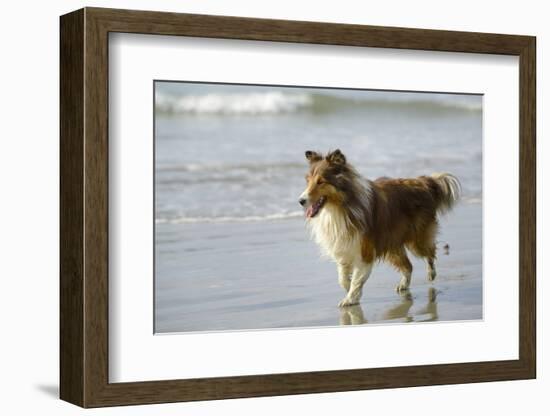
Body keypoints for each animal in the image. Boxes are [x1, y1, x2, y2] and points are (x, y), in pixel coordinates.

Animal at [302, 149, 462, 306]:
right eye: (308, 181)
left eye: (321, 182)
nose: (300, 201)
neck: (340, 208)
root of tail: (424, 182)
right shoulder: (343, 247)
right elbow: (342, 277)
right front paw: (348, 290)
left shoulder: (364, 250)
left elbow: (357, 279)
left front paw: (350, 298)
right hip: (393, 245)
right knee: (409, 266)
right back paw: (403, 285)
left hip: (417, 241)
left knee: (430, 253)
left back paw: (431, 274)